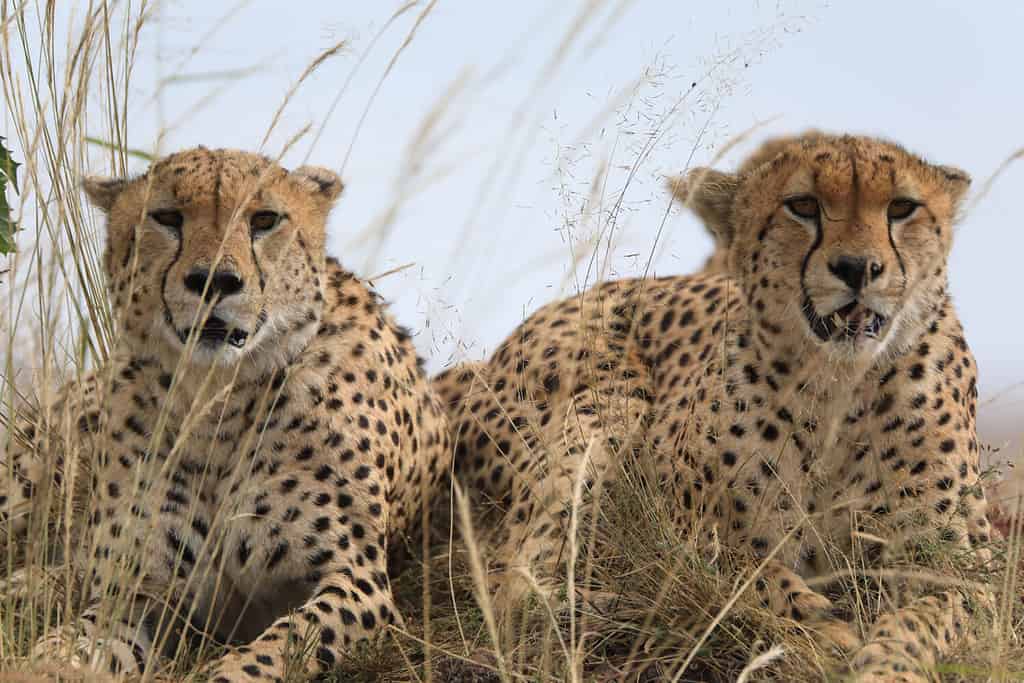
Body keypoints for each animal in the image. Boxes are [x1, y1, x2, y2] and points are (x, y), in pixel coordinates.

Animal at [0, 147, 448, 679]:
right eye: (167, 217)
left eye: (265, 220)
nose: (214, 281)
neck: (217, 400)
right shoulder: (139, 593)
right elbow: (77, 641)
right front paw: (51, 658)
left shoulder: (357, 579)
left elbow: (288, 641)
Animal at [434, 131, 991, 679]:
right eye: (802, 205)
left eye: (901, 207)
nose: (858, 268)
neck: (838, 386)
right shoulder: (678, 523)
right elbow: (741, 572)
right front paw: (816, 625)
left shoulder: (960, 570)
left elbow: (929, 615)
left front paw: (885, 662)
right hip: (610, 399)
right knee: (513, 577)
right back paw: (608, 608)